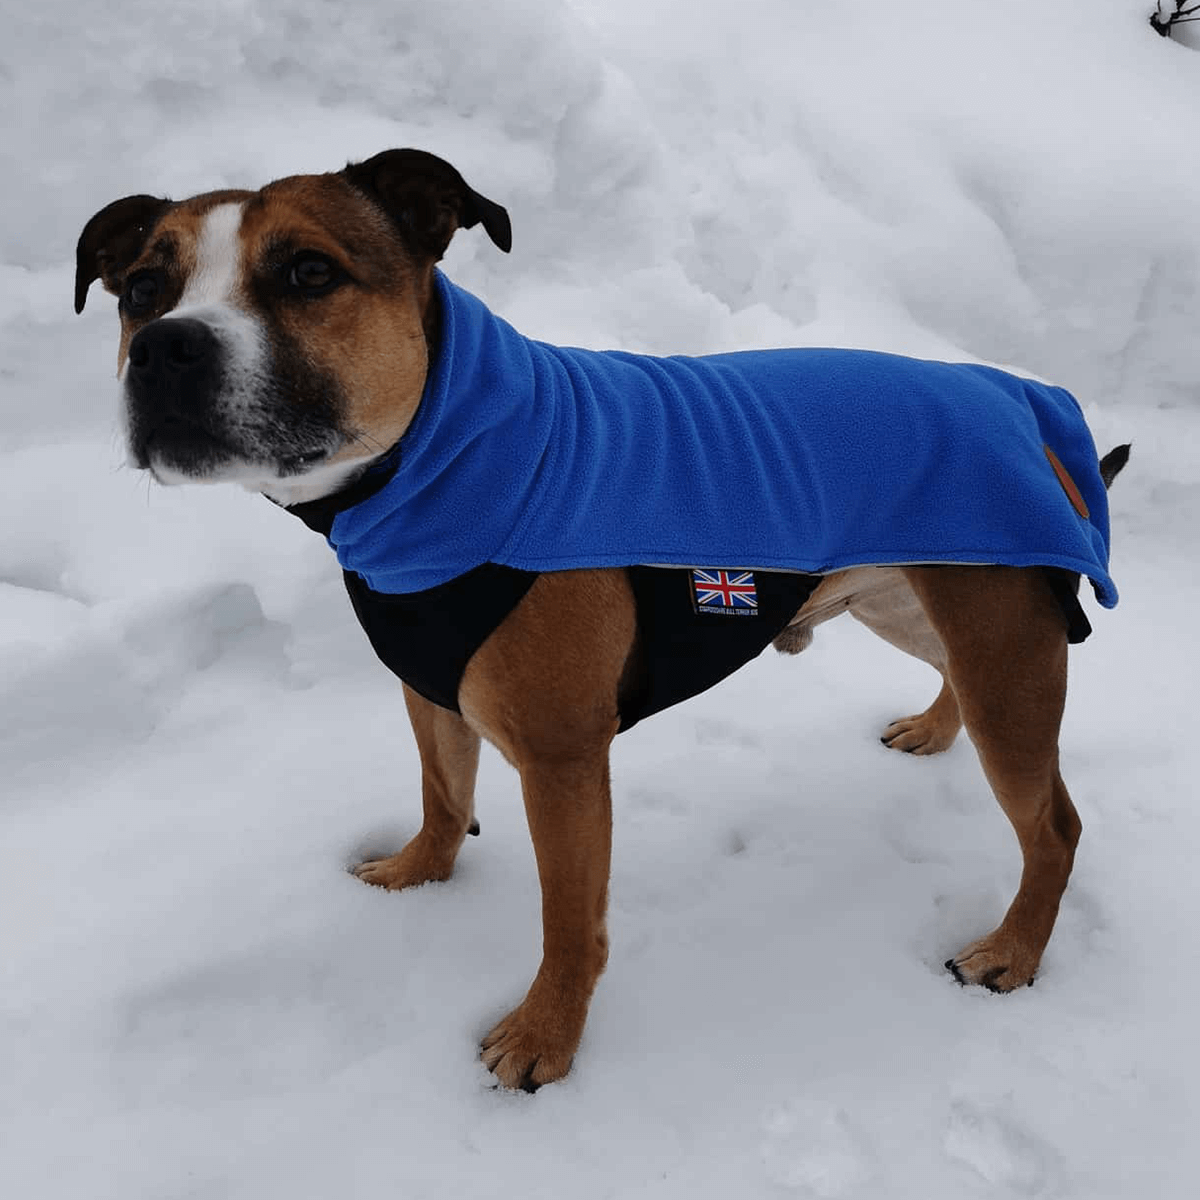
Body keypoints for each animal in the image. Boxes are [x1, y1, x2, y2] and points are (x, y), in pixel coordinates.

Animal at [72, 147, 1123, 1089]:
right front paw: (417, 877)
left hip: (1005, 651)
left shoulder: (562, 763)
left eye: (309, 272)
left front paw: (544, 1038)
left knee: (1054, 825)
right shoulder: (433, 691)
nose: (168, 345)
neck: (438, 459)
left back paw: (1012, 951)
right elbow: (442, 795)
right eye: (141, 289)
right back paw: (935, 731)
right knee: (950, 675)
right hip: (909, 601)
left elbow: (568, 920)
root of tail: (1025, 403)